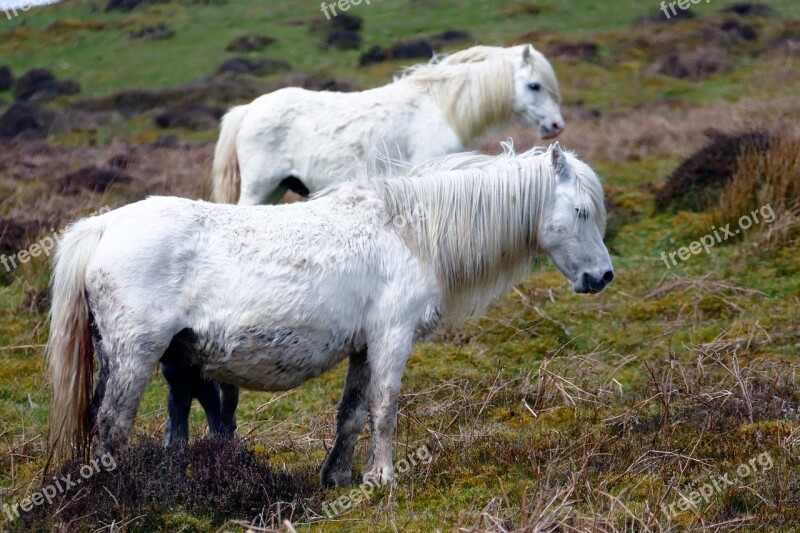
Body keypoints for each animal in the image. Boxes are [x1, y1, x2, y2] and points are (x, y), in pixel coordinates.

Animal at [48, 142, 612, 486]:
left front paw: (337, 477)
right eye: (581, 212)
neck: (407, 232)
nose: (603, 276)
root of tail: (103, 226)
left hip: (166, 359)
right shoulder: (391, 337)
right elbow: (385, 407)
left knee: (168, 422)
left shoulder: (364, 346)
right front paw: (381, 477)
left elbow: (352, 414)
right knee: (112, 424)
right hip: (135, 356)